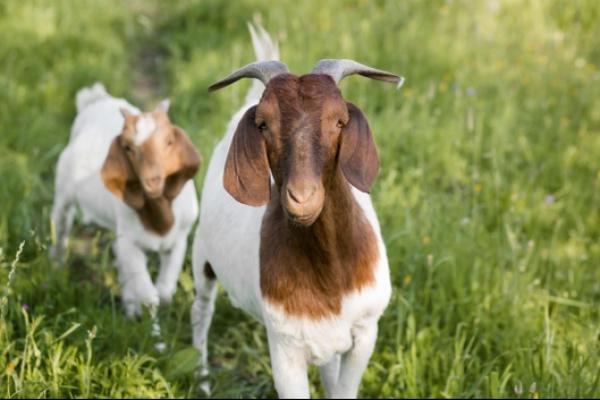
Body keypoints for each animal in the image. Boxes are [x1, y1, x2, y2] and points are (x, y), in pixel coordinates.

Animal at [50, 83, 200, 318]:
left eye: (169, 141)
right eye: (128, 147)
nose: (152, 181)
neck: (159, 220)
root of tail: (96, 100)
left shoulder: (179, 239)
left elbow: (165, 290)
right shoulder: (129, 242)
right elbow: (149, 296)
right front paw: (149, 320)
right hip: (63, 189)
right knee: (61, 223)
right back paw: (56, 265)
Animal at [190, 23, 400, 398]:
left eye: (340, 121)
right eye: (263, 124)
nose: (302, 197)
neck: (331, 277)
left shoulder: (365, 332)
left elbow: (342, 389)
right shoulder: (284, 349)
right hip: (202, 258)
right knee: (200, 310)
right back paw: (202, 380)